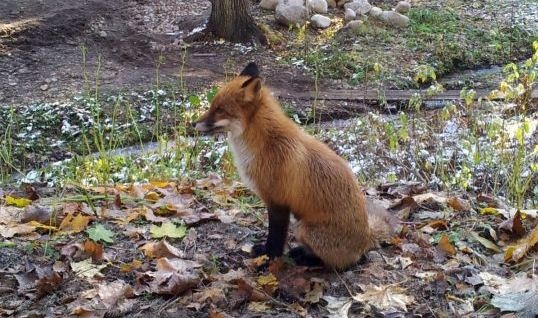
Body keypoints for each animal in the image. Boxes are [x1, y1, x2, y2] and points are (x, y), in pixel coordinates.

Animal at [194, 63, 394, 270]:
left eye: (219, 109)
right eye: (213, 106)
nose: (193, 123)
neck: (265, 142)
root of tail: (367, 237)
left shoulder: (278, 201)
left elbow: (275, 237)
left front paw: (268, 258)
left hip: (303, 229)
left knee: (342, 263)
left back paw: (307, 258)